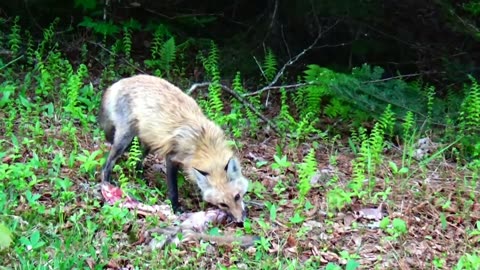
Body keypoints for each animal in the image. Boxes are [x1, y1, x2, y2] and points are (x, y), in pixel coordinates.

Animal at [97, 75, 248, 223]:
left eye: (237, 196)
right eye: (223, 204)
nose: (240, 221)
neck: (202, 143)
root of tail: (119, 83)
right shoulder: (172, 157)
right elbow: (173, 190)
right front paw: (175, 209)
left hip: (148, 142)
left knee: (138, 162)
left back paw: (142, 180)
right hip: (124, 139)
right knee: (106, 165)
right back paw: (106, 185)